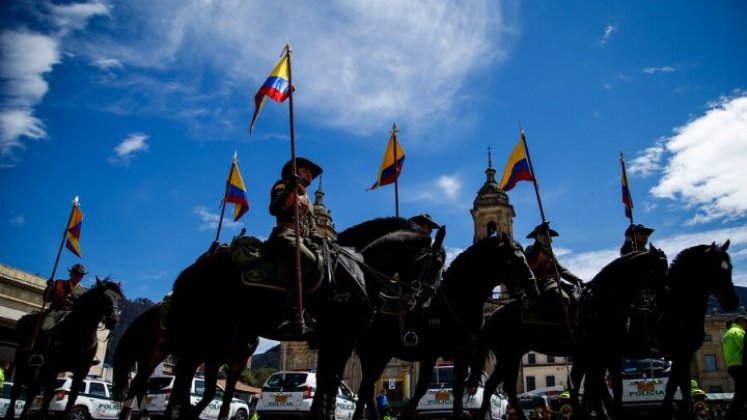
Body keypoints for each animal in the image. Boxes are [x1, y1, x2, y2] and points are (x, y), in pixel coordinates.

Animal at [5, 278, 124, 418]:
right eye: (103, 297)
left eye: (118, 299)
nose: (114, 320)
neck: (79, 335)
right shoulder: (53, 367)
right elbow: (49, 394)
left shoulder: (81, 371)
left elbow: (72, 397)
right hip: (23, 363)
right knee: (17, 389)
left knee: (32, 391)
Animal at [163, 218, 444, 420]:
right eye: (436, 264)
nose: (422, 306)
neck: (359, 270)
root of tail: (191, 271)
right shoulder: (341, 338)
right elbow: (331, 382)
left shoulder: (342, 341)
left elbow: (331, 382)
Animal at [354, 235, 536, 418]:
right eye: (514, 260)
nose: (533, 289)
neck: (455, 300)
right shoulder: (430, 353)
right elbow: (421, 388)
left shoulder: (462, 354)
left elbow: (456, 391)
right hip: (372, 352)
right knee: (365, 387)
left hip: (379, 354)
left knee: (367, 386)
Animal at [464, 246, 668, 420]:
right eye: (659, 270)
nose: (661, 299)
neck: (601, 303)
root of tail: (493, 316)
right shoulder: (597, 353)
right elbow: (591, 386)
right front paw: (589, 414)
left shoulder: (596, 354)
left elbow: (592, 386)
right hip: (509, 355)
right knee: (500, 387)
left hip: (511, 356)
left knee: (499, 386)